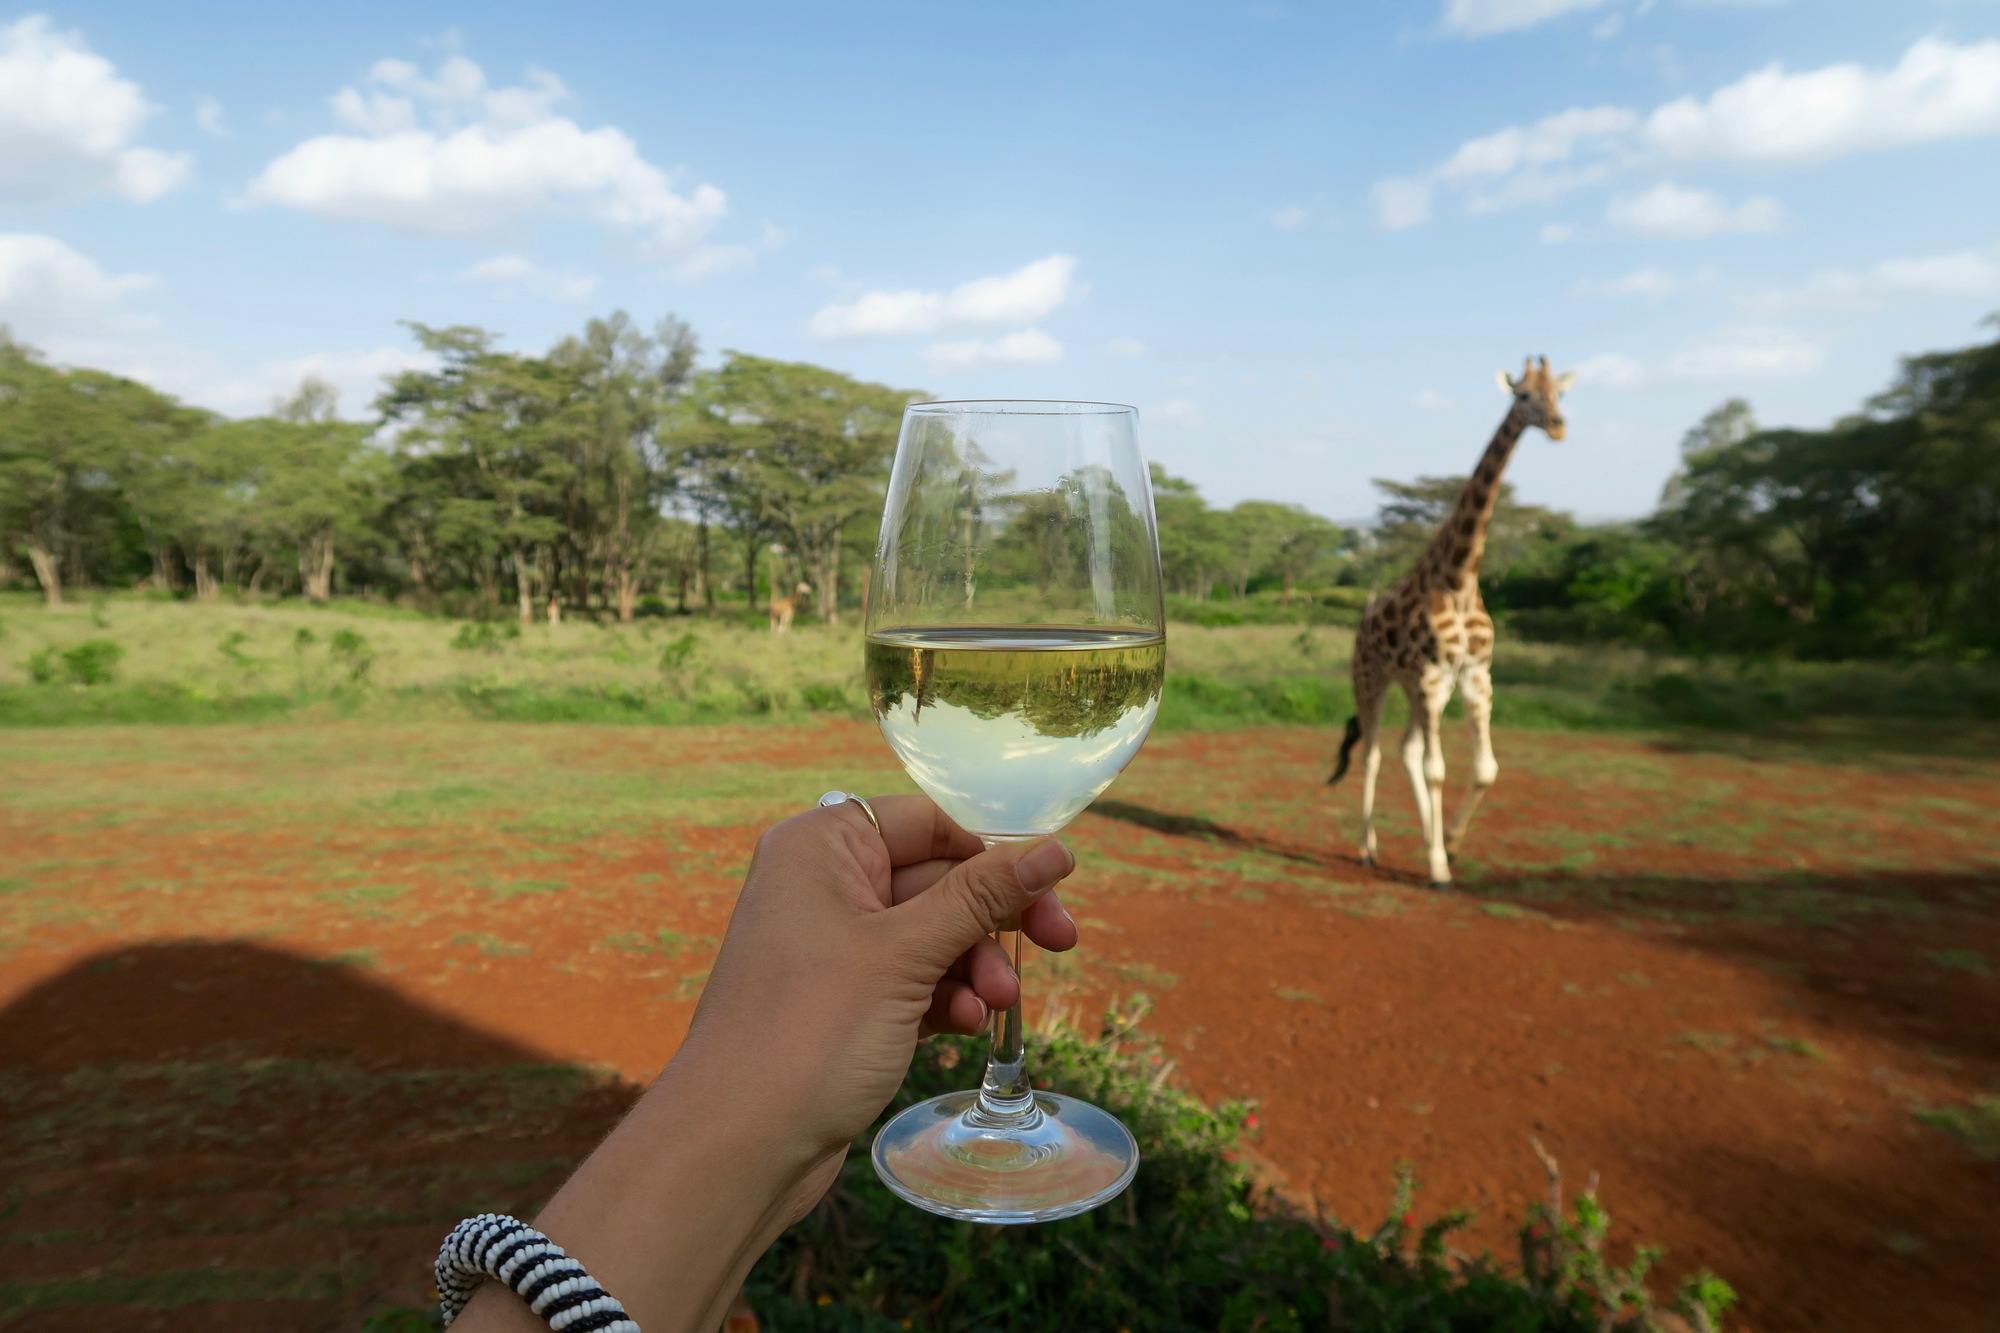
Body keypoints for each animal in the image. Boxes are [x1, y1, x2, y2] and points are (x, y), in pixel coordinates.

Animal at [1336, 358, 1568, 888]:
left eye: (1558, 393)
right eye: (1523, 396)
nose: (1558, 426)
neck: (1459, 579)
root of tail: (1363, 621)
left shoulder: (1473, 675)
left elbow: (1484, 768)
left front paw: (1452, 846)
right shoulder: (1430, 674)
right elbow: (1438, 768)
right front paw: (1439, 866)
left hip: (1419, 689)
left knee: (1406, 750)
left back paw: (1424, 840)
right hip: (1373, 678)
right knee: (1375, 752)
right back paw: (1366, 848)